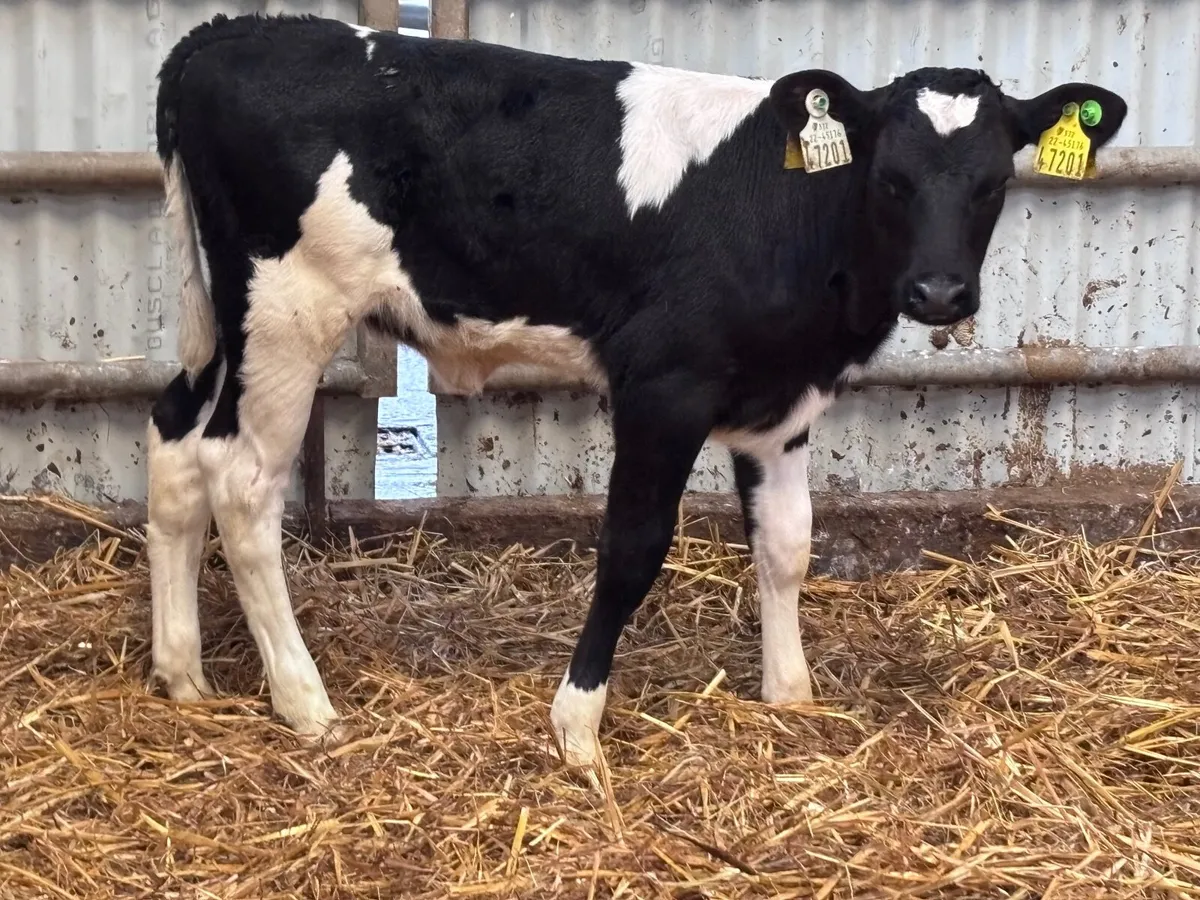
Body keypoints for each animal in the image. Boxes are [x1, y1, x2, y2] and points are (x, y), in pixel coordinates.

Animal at [146, 12, 1127, 765]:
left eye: (993, 182)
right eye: (890, 177)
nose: (939, 294)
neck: (791, 214)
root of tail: (229, 31)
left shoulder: (781, 406)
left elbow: (788, 546)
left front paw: (791, 695)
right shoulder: (664, 386)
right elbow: (631, 550)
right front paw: (577, 724)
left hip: (222, 323)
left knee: (175, 441)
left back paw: (182, 671)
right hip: (287, 313)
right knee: (242, 485)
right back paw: (304, 701)